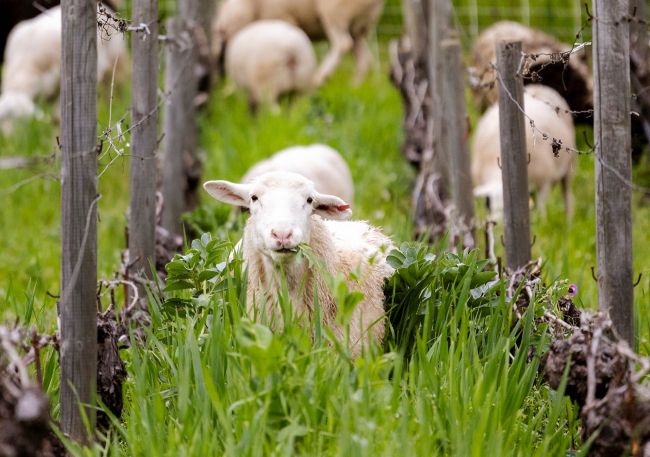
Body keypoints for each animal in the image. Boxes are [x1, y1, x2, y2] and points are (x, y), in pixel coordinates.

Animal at [212, 0, 384, 86]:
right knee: (364, 58)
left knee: (343, 43)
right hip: (360, 28)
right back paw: (355, 86)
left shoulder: (283, 17)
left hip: (336, 12)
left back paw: (320, 77)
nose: (218, 83)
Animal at [471, 84, 576, 220]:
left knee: (567, 195)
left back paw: (569, 222)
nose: (497, 223)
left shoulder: (544, 180)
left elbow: (541, 209)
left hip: (568, 165)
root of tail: (540, 86)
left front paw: (541, 221)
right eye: (487, 205)